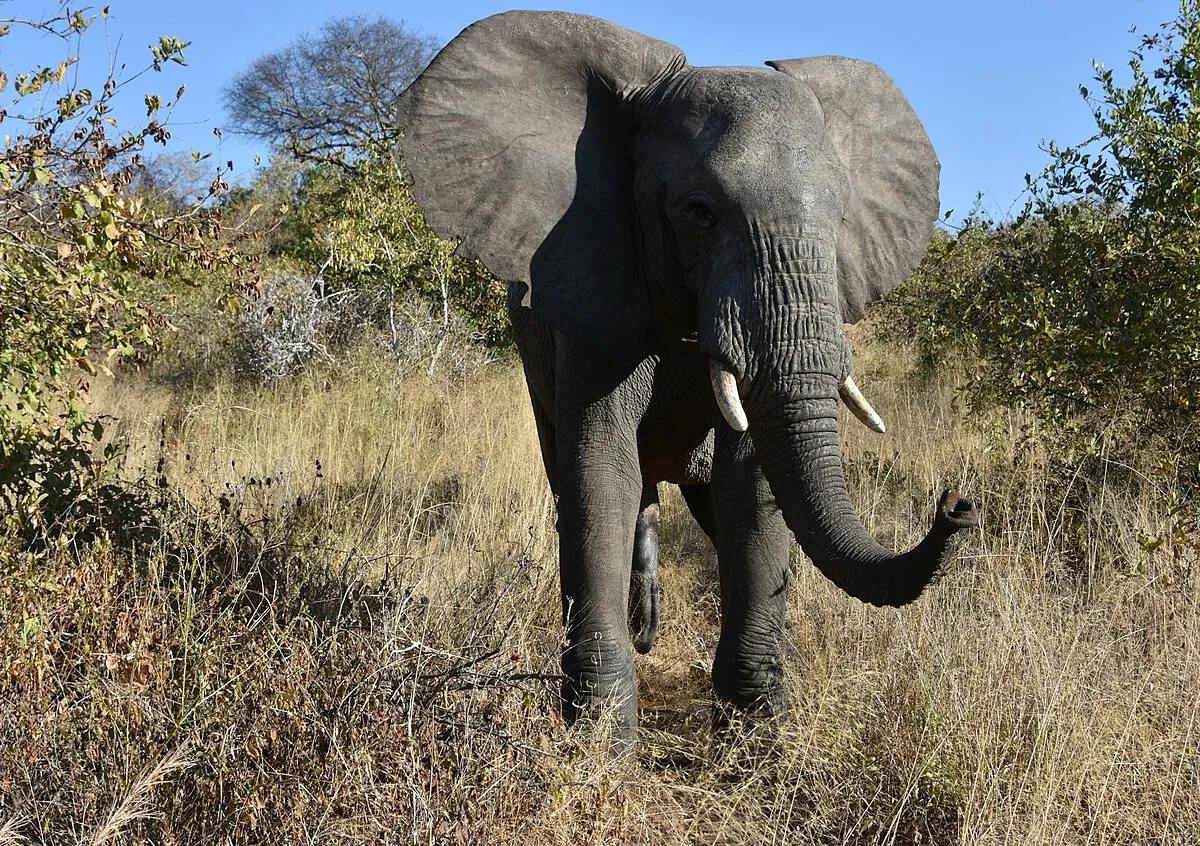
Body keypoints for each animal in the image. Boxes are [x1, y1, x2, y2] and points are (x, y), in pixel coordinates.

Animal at [398, 11, 978, 740]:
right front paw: (601, 743)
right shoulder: (592, 289)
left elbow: (748, 489)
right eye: (700, 211)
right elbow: (602, 474)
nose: (956, 506)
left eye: (840, 217)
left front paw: (757, 736)